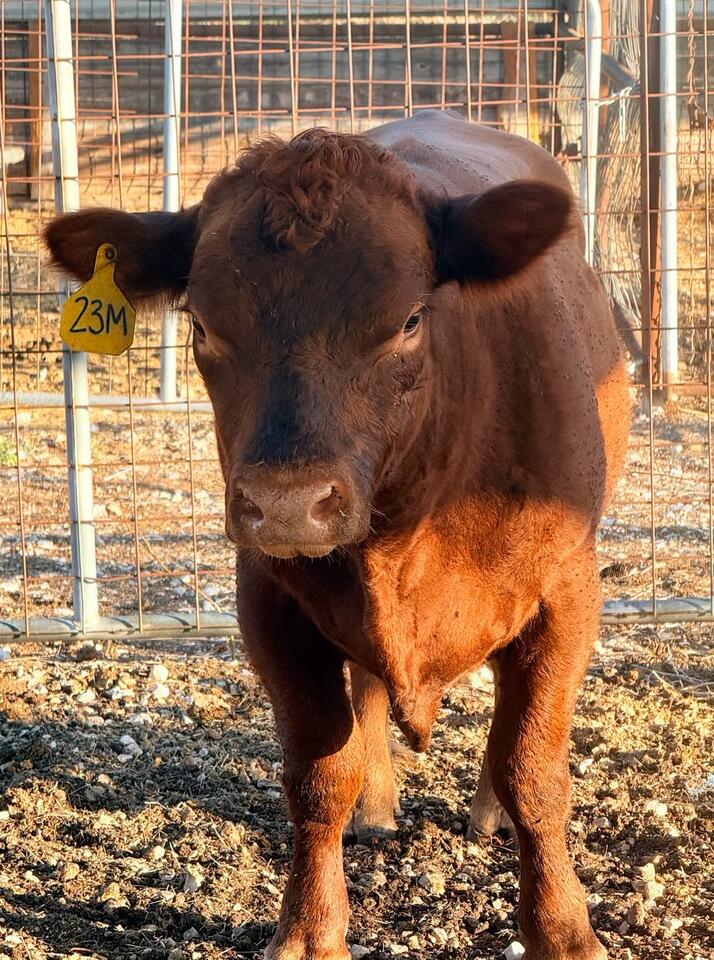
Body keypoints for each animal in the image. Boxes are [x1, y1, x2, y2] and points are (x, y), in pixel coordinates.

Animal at [45, 110, 630, 960]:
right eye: (202, 325)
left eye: (410, 319)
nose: (287, 504)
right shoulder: (270, 605)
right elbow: (319, 774)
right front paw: (310, 928)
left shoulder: (566, 591)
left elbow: (533, 768)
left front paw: (561, 930)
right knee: (369, 688)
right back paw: (378, 805)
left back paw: (484, 809)